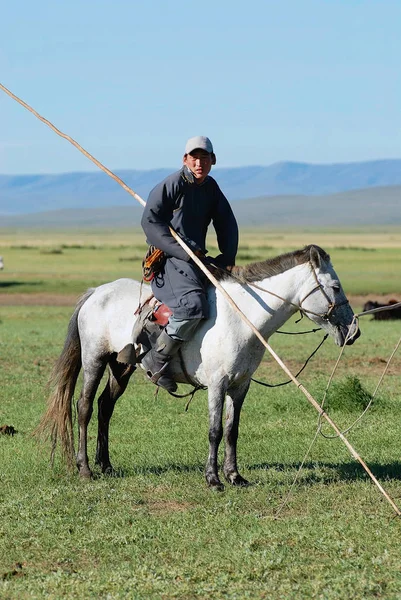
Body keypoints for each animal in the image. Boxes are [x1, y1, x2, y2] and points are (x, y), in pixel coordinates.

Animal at [38, 246, 360, 490]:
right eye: (335, 287)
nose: (353, 331)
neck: (242, 318)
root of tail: (96, 292)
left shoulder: (240, 386)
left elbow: (232, 430)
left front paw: (234, 476)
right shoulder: (217, 384)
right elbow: (214, 431)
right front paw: (213, 479)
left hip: (121, 367)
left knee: (105, 407)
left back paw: (106, 465)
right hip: (95, 359)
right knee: (84, 407)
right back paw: (85, 469)